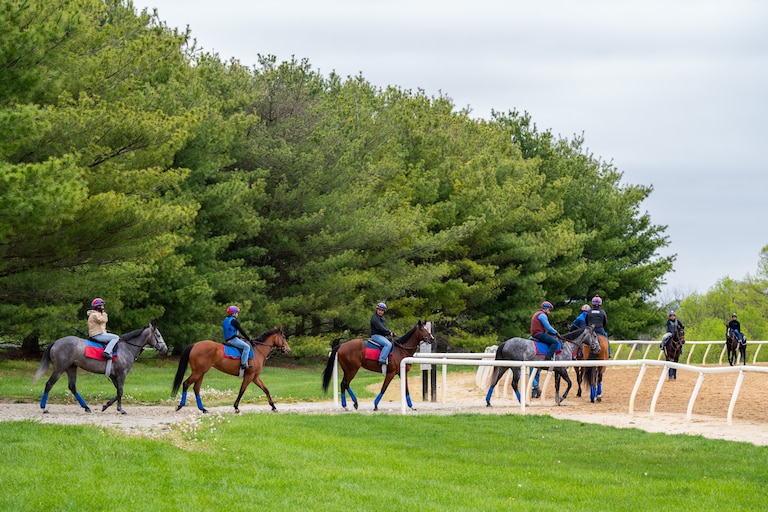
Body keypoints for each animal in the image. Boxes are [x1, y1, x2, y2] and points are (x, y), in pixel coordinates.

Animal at [33, 324, 168, 414]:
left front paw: (106, 405)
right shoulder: (121, 374)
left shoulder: (114, 376)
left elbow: (118, 391)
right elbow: (120, 391)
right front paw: (120, 409)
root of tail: (55, 342)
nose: (165, 348)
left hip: (71, 368)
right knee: (49, 384)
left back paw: (86, 407)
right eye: (158, 335)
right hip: (59, 369)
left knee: (72, 387)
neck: (127, 348)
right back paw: (44, 408)